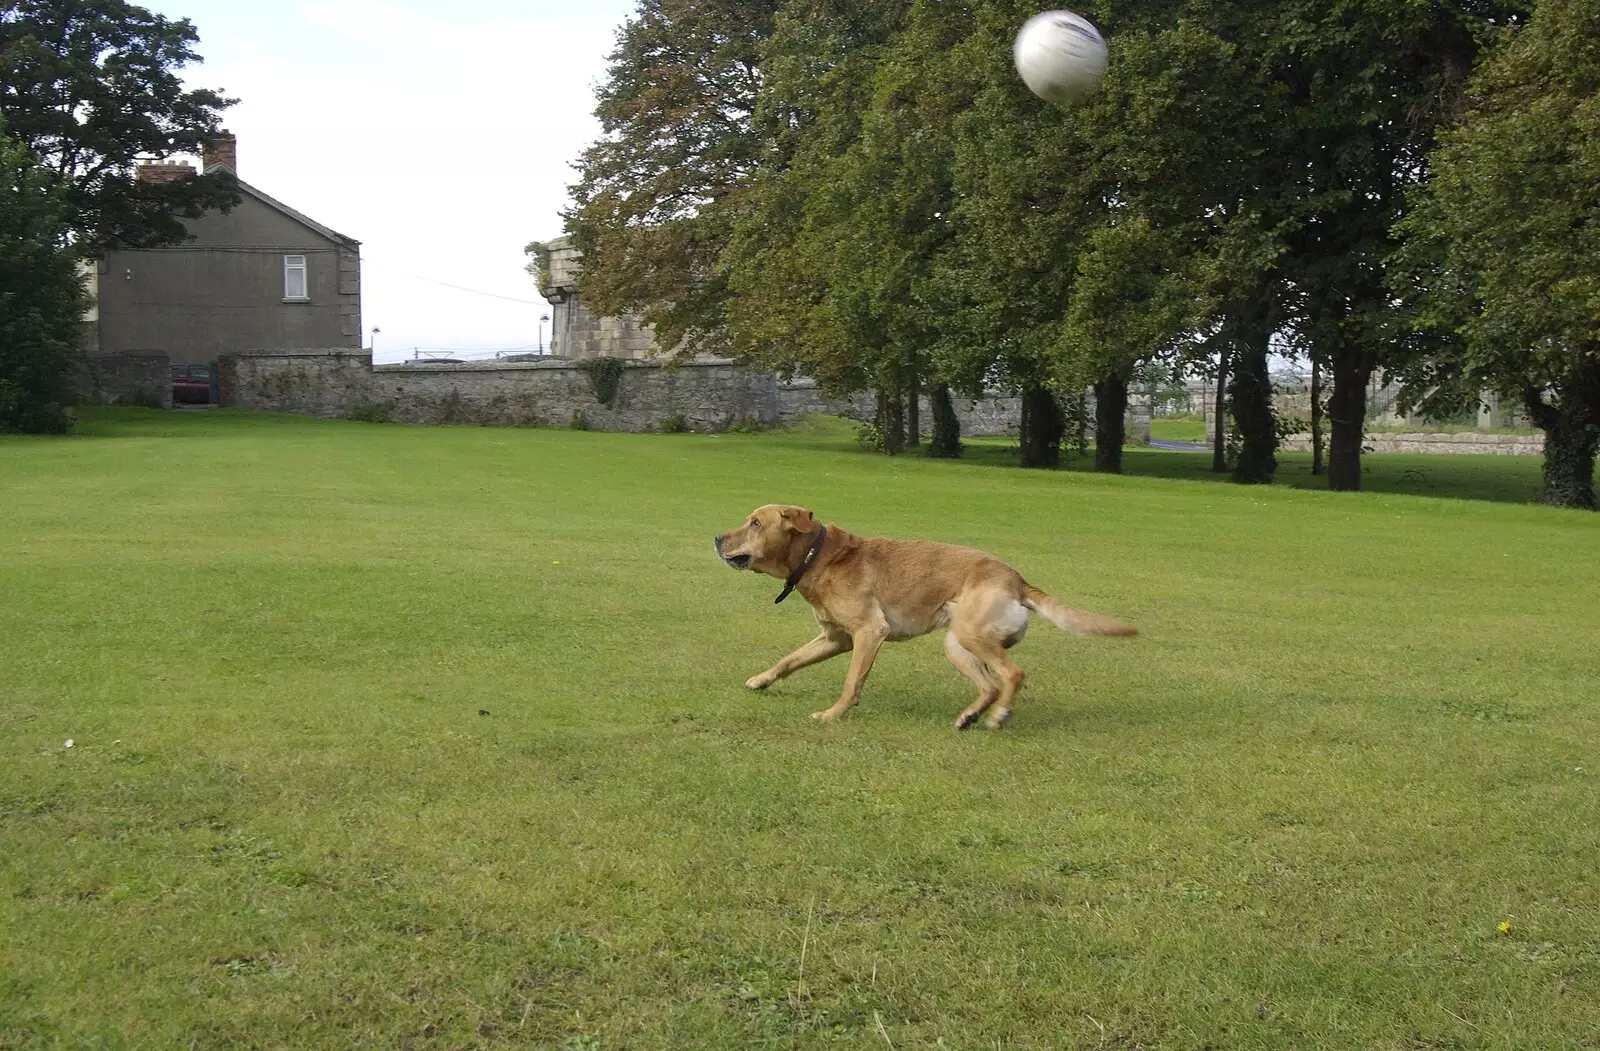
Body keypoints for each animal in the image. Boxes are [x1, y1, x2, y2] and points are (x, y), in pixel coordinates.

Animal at [713, 505, 1139, 726]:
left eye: (755, 523)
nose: (716, 538)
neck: (820, 557)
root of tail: (1017, 580)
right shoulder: (837, 637)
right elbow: (789, 660)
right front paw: (761, 680)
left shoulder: (869, 633)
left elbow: (852, 683)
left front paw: (833, 714)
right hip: (958, 644)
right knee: (990, 685)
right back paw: (970, 716)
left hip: (972, 634)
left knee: (1013, 675)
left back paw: (999, 715)